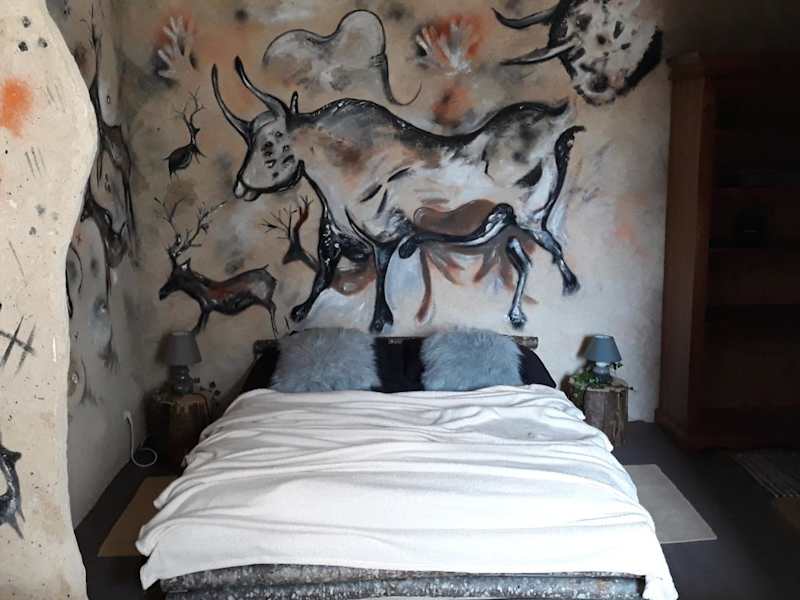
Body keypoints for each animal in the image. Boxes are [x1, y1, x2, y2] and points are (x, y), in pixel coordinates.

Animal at [156, 197, 279, 336]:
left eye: (174, 275)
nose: (161, 293)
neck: (203, 292)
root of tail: (271, 276)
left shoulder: (206, 308)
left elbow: (198, 330)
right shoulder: (207, 309)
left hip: (263, 298)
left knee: (273, 307)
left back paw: (276, 333)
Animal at [212, 57, 583, 333]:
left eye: (270, 145)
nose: (240, 187)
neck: (340, 165)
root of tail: (558, 129)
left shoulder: (383, 234)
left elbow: (379, 274)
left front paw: (380, 322)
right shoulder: (333, 236)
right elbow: (321, 277)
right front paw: (301, 312)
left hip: (529, 217)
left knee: (551, 246)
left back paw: (570, 288)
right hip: (508, 226)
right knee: (521, 256)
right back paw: (519, 315)